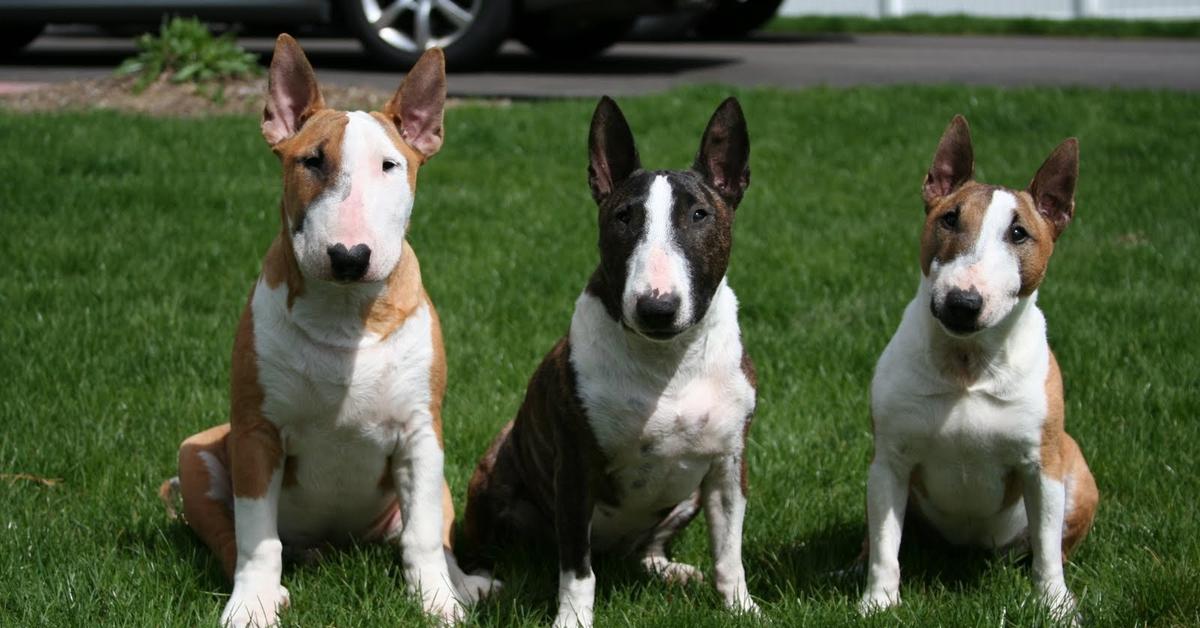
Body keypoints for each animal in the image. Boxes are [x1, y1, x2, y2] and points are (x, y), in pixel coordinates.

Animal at [163, 35, 492, 628]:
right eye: (311, 160)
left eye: (390, 165)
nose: (348, 256)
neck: (344, 314)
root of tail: (338, 543)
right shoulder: (256, 432)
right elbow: (256, 536)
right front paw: (252, 605)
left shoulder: (421, 432)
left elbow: (423, 536)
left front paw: (437, 602)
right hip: (195, 457)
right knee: (228, 536)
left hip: (437, 480)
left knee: (431, 527)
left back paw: (465, 583)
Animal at [859, 115, 1099, 619]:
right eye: (949, 218)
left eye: (1019, 233)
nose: (962, 303)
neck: (967, 363)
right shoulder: (890, 461)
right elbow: (886, 541)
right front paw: (879, 602)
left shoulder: (1042, 467)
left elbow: (1048, 548)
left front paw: (1056, 605)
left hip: (1078, 475)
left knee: (1053, 544)